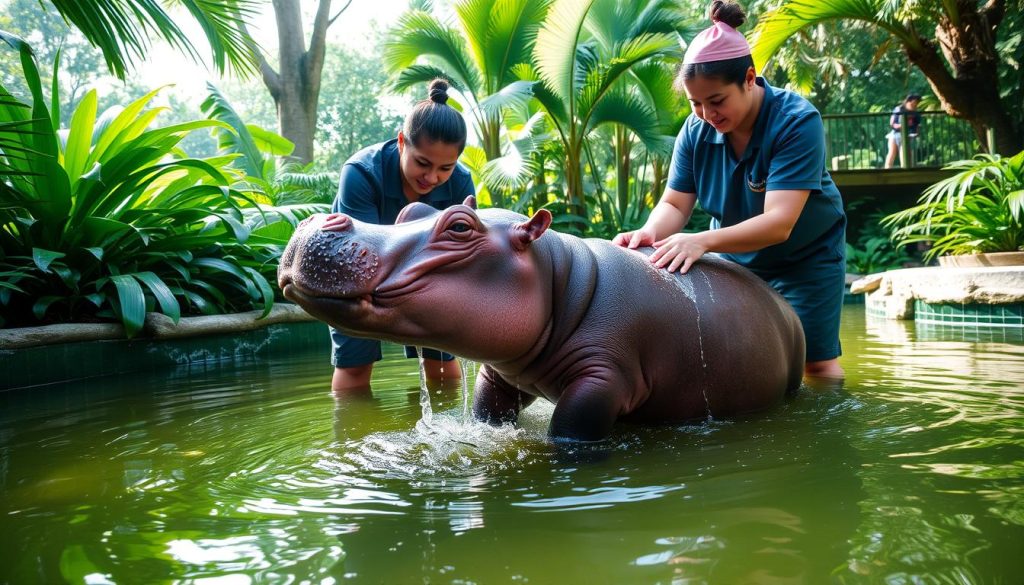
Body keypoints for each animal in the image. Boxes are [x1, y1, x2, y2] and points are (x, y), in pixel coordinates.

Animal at [277, 198, 805, 441]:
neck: (563, 281)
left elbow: (569, 430)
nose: (320, 220)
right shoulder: (501, 375)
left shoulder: (601, 378)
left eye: (459, 226)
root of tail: (781, 302)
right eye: (412, 208)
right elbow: (487, 415)